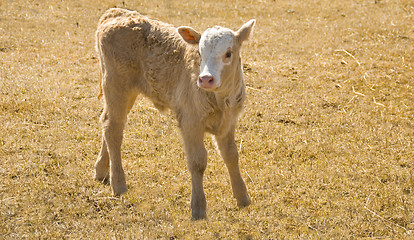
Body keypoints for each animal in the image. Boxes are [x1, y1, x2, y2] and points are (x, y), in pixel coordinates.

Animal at [95, 8, 256, 219]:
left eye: (228, 53)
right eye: (200, 53)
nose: (206, 79)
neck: (220, 100)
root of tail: (116, 13)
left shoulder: (229, 123)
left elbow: (231, 155)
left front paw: (242, 197)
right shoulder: (190, 122)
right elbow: (197, 162)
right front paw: (198, 207)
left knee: (108, 123)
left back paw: (101, 170)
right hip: (116, 86)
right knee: (113, 129)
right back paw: (119, 183)